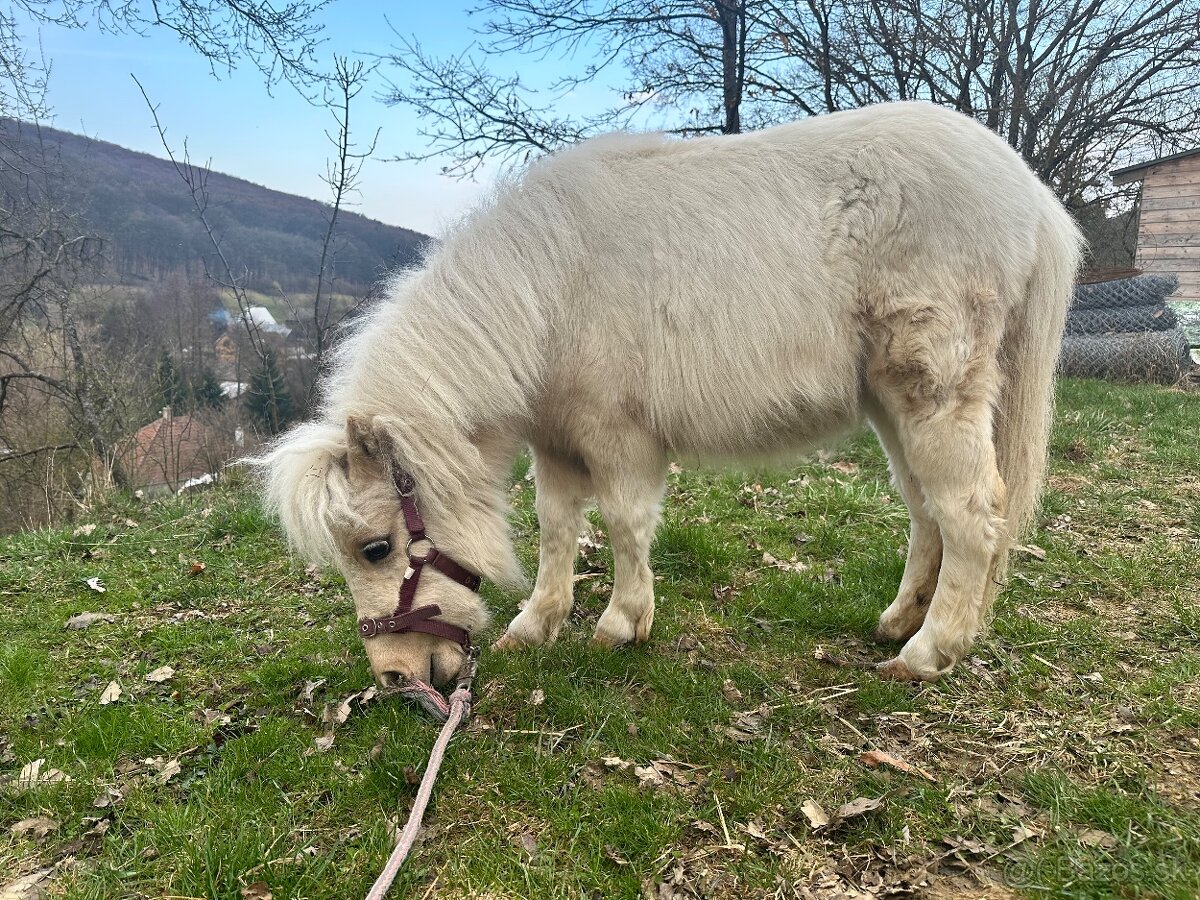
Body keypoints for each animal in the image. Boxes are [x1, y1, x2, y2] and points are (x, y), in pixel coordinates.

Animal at [252, 101, 1081, 689]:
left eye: (376, 548)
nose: (395, 678)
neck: (550, 289)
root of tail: (1031, 198)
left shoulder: (618, 438)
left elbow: (624, 524)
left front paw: (623, 622)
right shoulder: (557, 443)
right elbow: (558, 526)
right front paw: (539, 621)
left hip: (934, 398)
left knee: (970, 515)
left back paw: (931, 649)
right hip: (891, 406)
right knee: (926, 511)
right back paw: (901, 620)